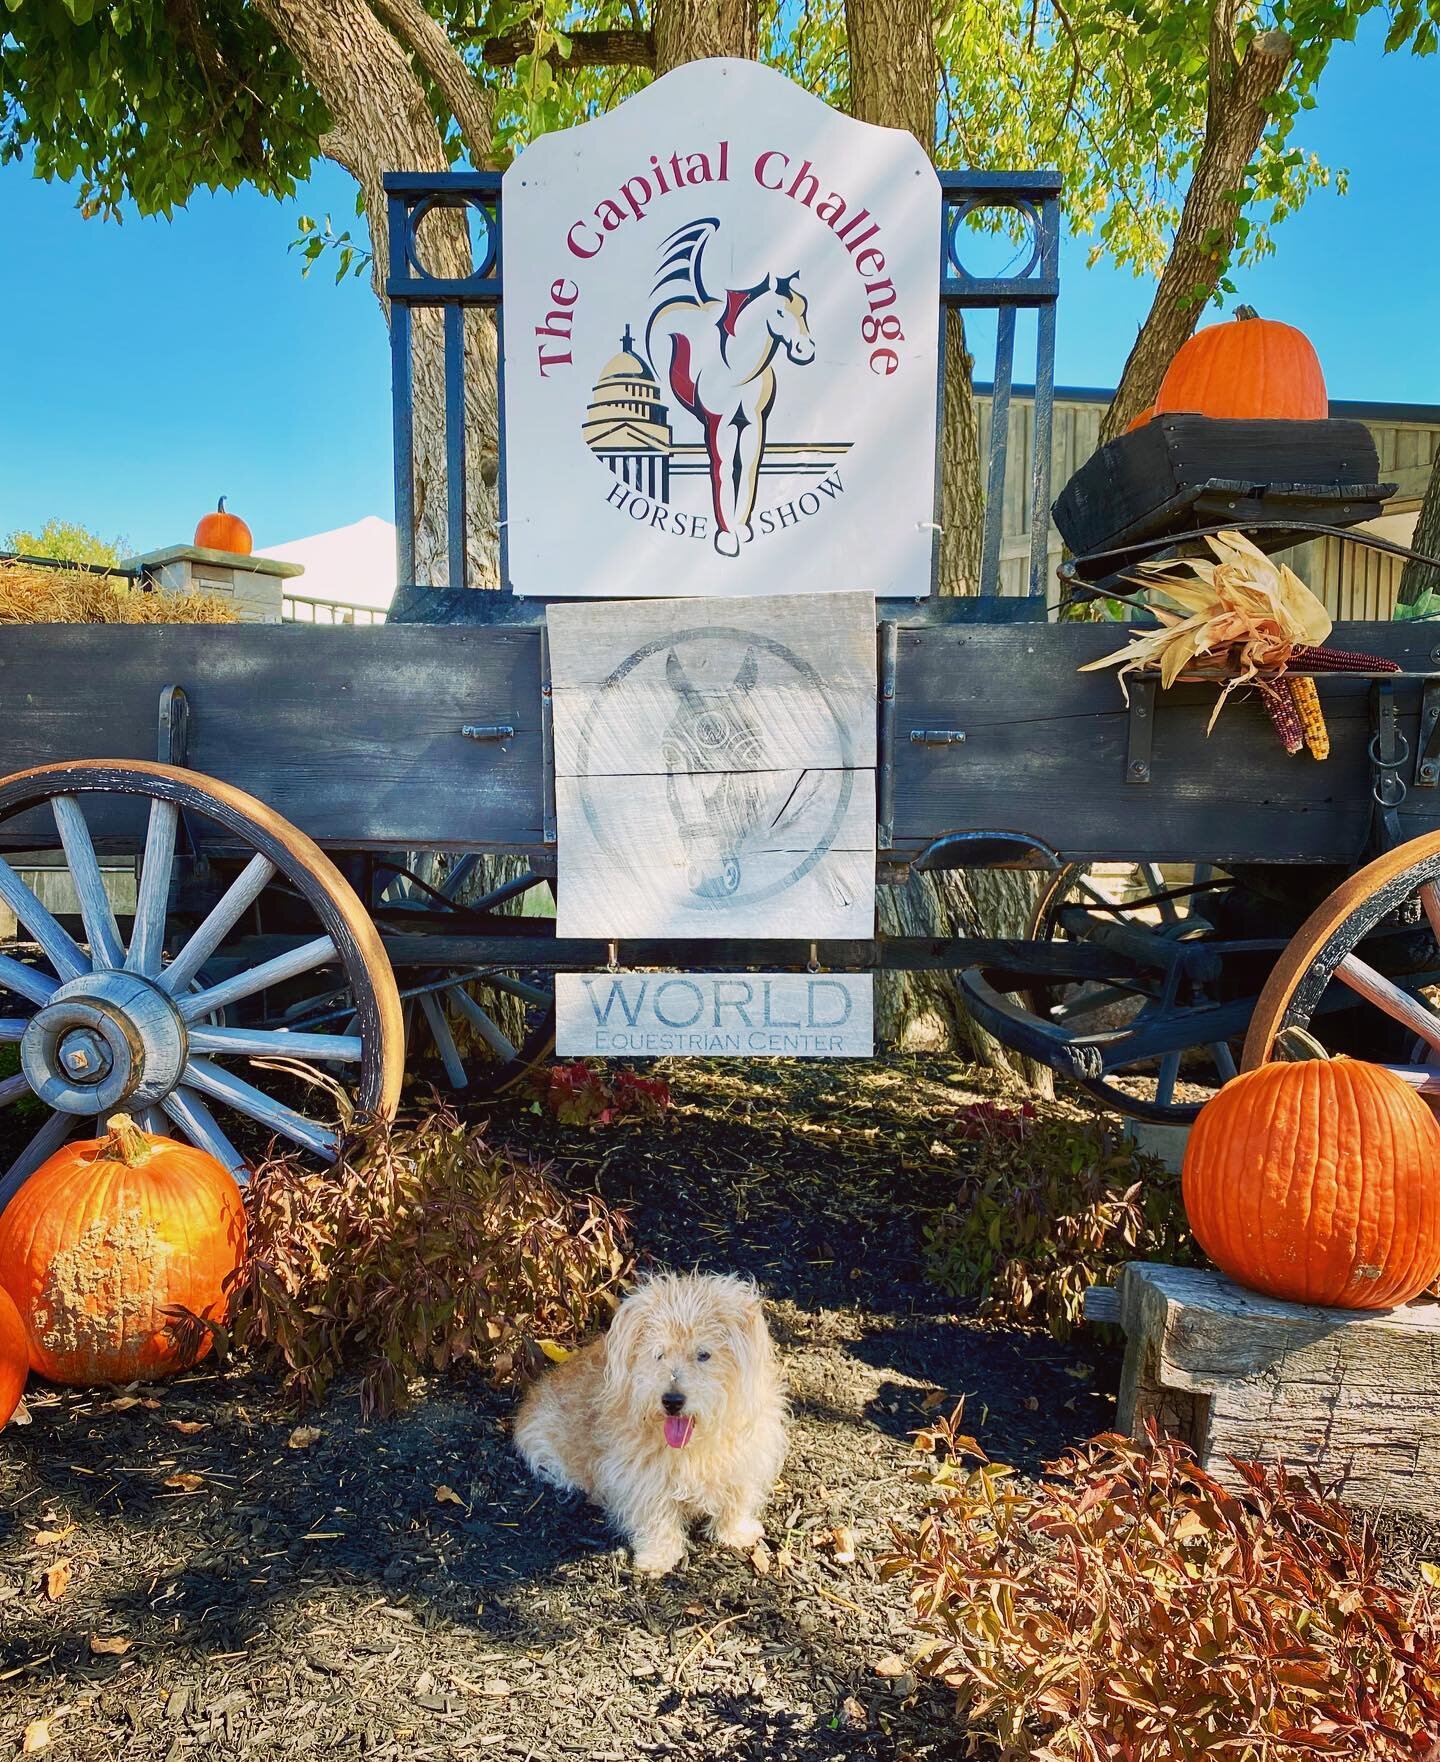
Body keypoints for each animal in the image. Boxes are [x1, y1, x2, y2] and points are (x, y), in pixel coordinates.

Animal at [511, 1275, 786, 1578]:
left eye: (704, 1354)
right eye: (659, 1354)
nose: (672, 1401)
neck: (692, 1447)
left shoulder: (745, 1460)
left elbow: (737, 1499)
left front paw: (736, 1532)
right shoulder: (640, 1476)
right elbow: (656, 1515)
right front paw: (657, 1556)